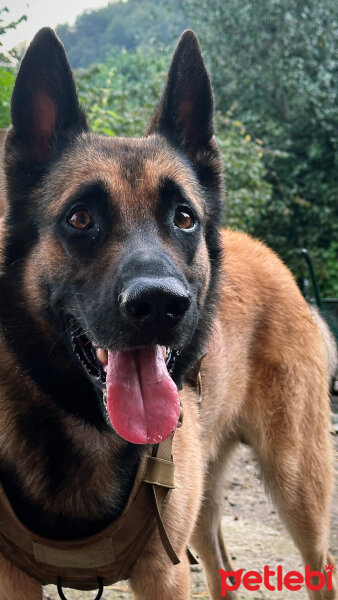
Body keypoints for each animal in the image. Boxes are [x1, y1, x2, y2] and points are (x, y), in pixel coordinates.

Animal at [0, 28, 336, 600]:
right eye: (80, 218)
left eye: (183, 218)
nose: (161, 305)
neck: (85, 424)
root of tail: (274, 259)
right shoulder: (13, 580)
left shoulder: (164, 573)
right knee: (222, 570)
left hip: (298, 488)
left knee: (320, 563)